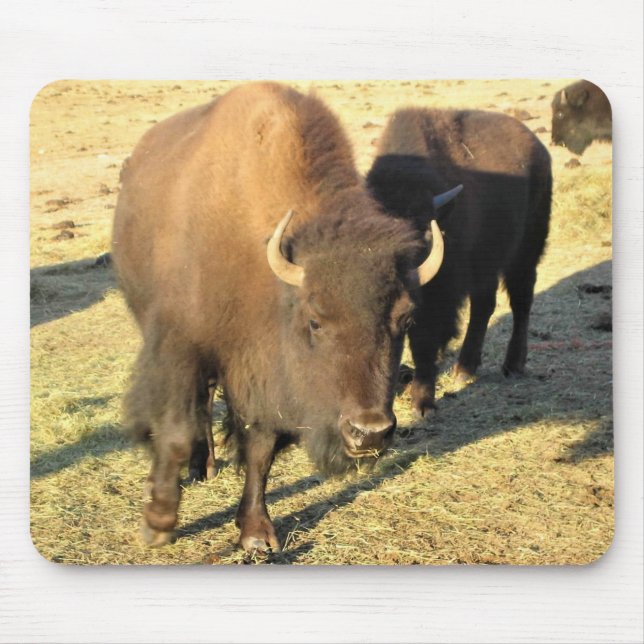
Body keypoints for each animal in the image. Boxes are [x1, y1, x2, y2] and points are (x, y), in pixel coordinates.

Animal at [112, 83, 460, 552]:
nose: (369, 432)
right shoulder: (180, 346)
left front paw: (256, 533)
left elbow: (260, 448)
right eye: (315, 320)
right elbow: (175, 431)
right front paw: (158, 523)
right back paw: (198, 470)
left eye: (405, 319)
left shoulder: (259, 373)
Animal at [367, 108, 552, 417]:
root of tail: (539, 149)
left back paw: (512, 365)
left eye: (423, 229)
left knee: (521, 302)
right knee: (484, 306)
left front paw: (423, 405)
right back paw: (465, 368)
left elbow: (424, 342)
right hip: (487, 266)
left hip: (525, 254)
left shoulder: (438, 299)